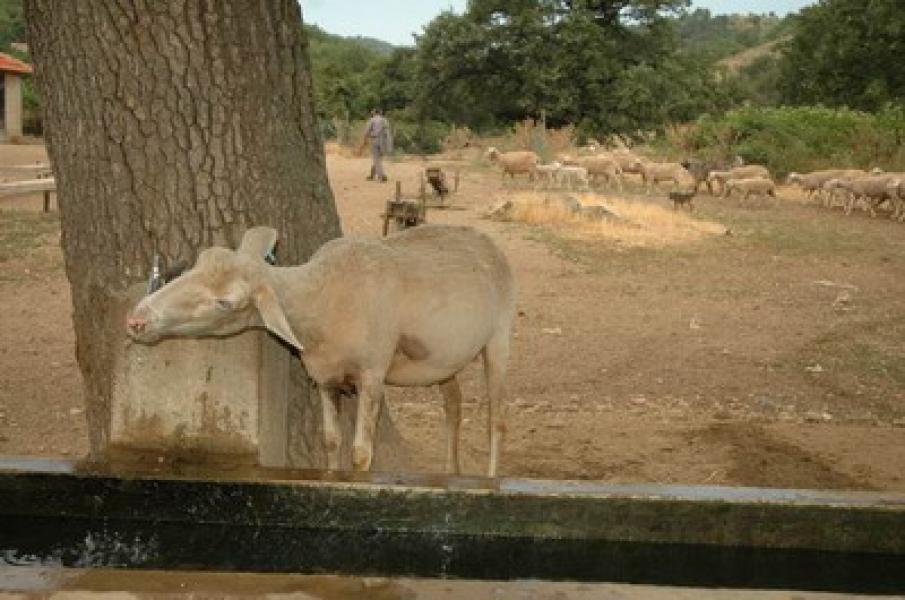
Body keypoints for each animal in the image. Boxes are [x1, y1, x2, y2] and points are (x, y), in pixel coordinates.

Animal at [131, 225, 520, 478]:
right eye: (200, 260)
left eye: (226, 302)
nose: (136, 318)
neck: (320, 299)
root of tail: (487, 239)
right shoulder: (323, 377)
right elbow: (331, 440)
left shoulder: (372, 373)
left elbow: (361, 452)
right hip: (442, 358)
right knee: (454, 405)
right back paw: (452, 473)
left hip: (500, 334)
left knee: (497, 419)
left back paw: (490, 479)